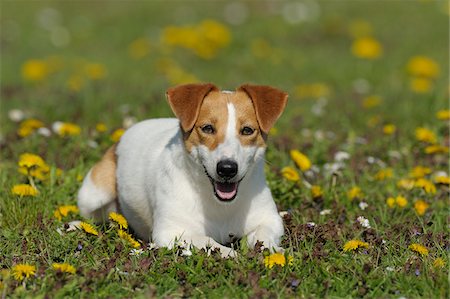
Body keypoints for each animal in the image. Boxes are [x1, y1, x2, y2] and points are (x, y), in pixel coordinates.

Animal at [77, 84, 288, 258]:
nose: (227, 169)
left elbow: (263, 236)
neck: (218, 204)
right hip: (94, 195)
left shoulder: (269, 219)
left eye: (247, 130)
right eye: (207, 128)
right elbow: (208, 241)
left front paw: (272, 250)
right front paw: (230, 254)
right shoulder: (171, 232)